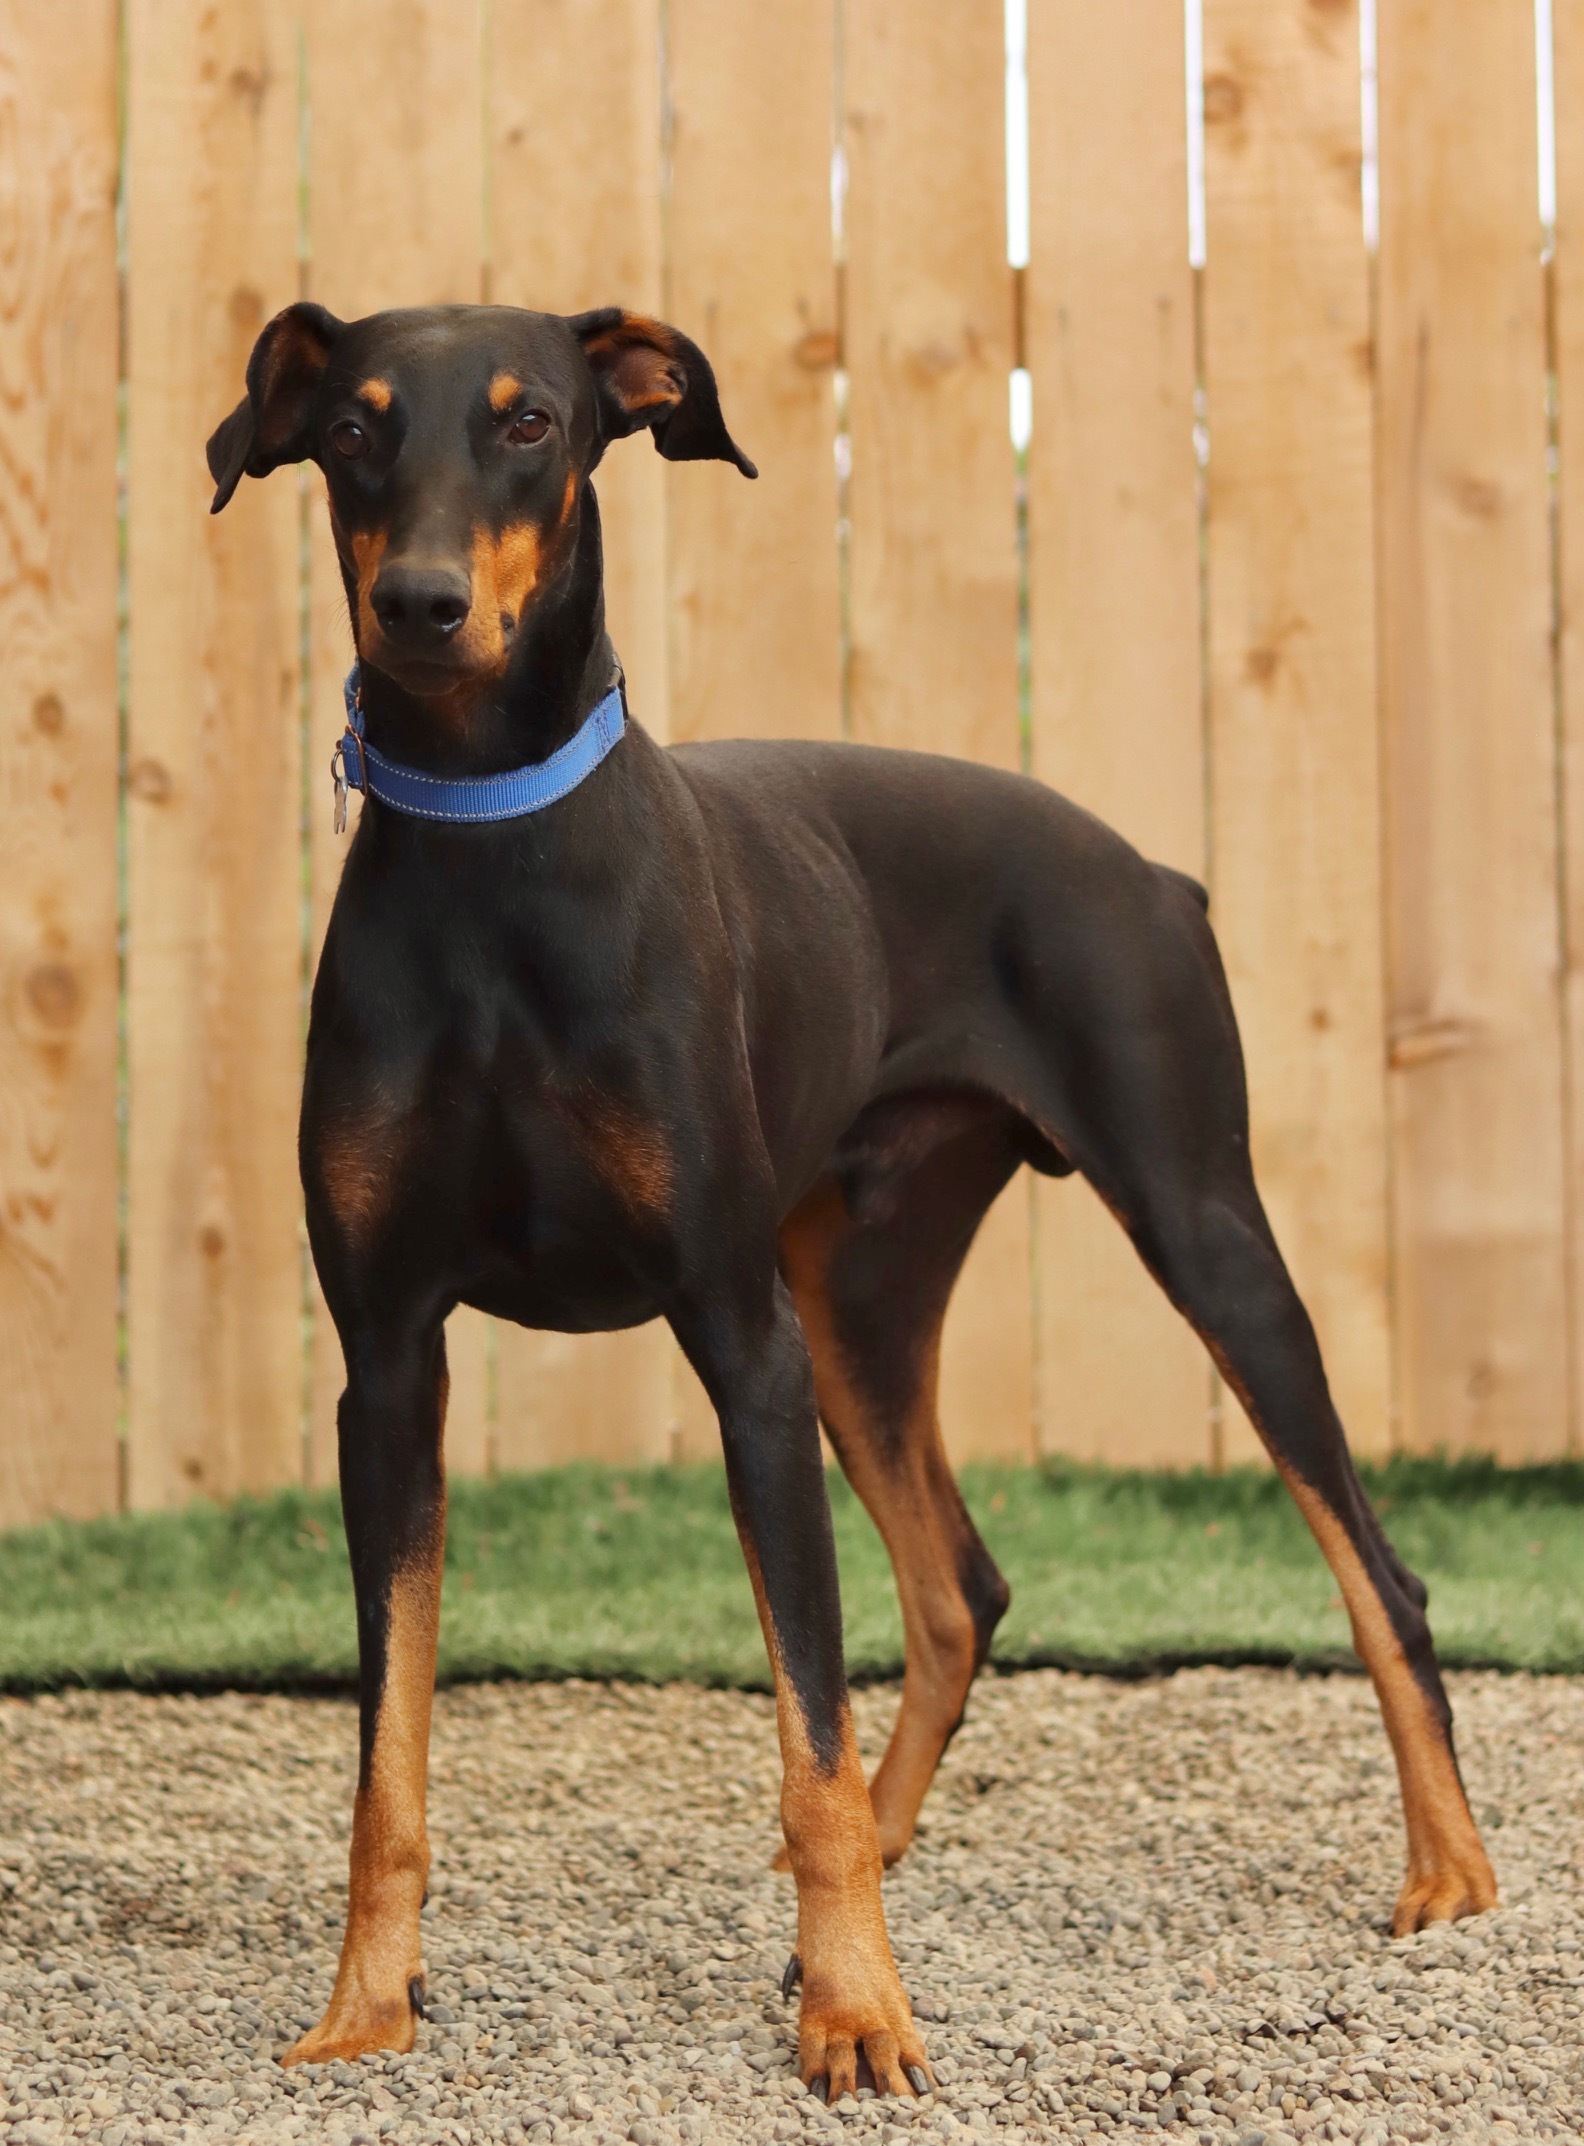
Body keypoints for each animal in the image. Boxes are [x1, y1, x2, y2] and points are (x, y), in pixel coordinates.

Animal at [207, 306, 1493, 2111]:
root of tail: (1152, 871)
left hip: (1194, 1228)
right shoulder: (388, 1364)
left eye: (530, 423)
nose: (424, 605)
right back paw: (872, 1870)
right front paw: (365, 2008)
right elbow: (389, 1751)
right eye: (349, 428)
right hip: (859, 1296)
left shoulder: (735, 1339)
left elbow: (801, 1713)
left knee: (1376, 1572)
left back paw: (1448, 1872)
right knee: (959, 1585)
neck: (492, 852)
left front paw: (858, 2016)